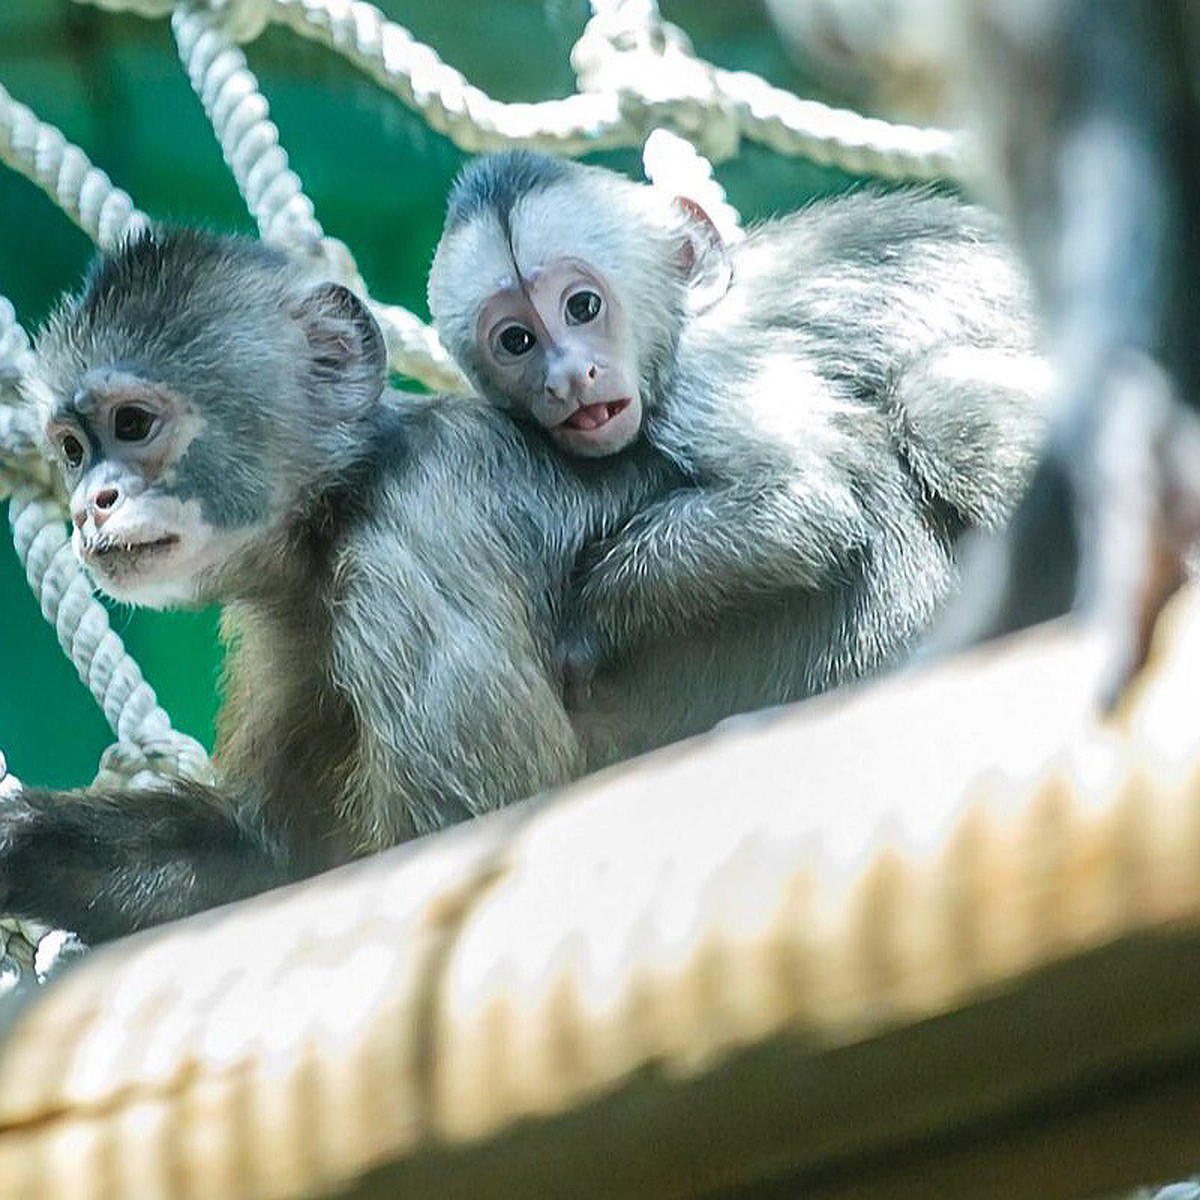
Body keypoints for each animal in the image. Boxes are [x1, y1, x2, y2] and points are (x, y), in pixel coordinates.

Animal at [429, 154, 1051, 705]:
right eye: (517, 340)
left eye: (583, 306)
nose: (567, 378)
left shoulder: (704, 378)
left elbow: (802, 504)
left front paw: (587, 623)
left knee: (935, 399)